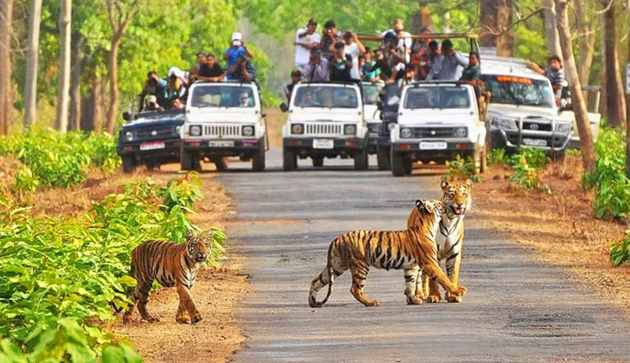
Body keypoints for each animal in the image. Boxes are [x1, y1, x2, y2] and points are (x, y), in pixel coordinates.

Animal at [308, 200, 466, 308]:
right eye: (438, 204)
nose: (446, 203)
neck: (428, 224)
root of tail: (338, 238)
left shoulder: (411, 267)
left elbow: (410, 284)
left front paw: (412, 300)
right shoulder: (430, 262)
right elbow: (443, 278)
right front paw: (458, 290)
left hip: (337, 265)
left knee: (316, 281)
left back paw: (312, 302)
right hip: (360, 265)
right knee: (355, 288)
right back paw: (371, 302)